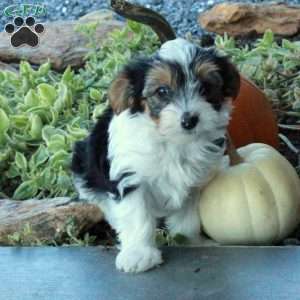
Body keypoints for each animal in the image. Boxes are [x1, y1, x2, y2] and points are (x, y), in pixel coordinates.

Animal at [71, 37, 240, 272]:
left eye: (206, 88)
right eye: (161, 91)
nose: (189, 120)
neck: (171, 140)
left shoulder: (193, 183)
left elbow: (187, 218)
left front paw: (192, 242)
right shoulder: (130, 176)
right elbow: (136, 216)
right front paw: (138, 254)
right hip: (83, 163)